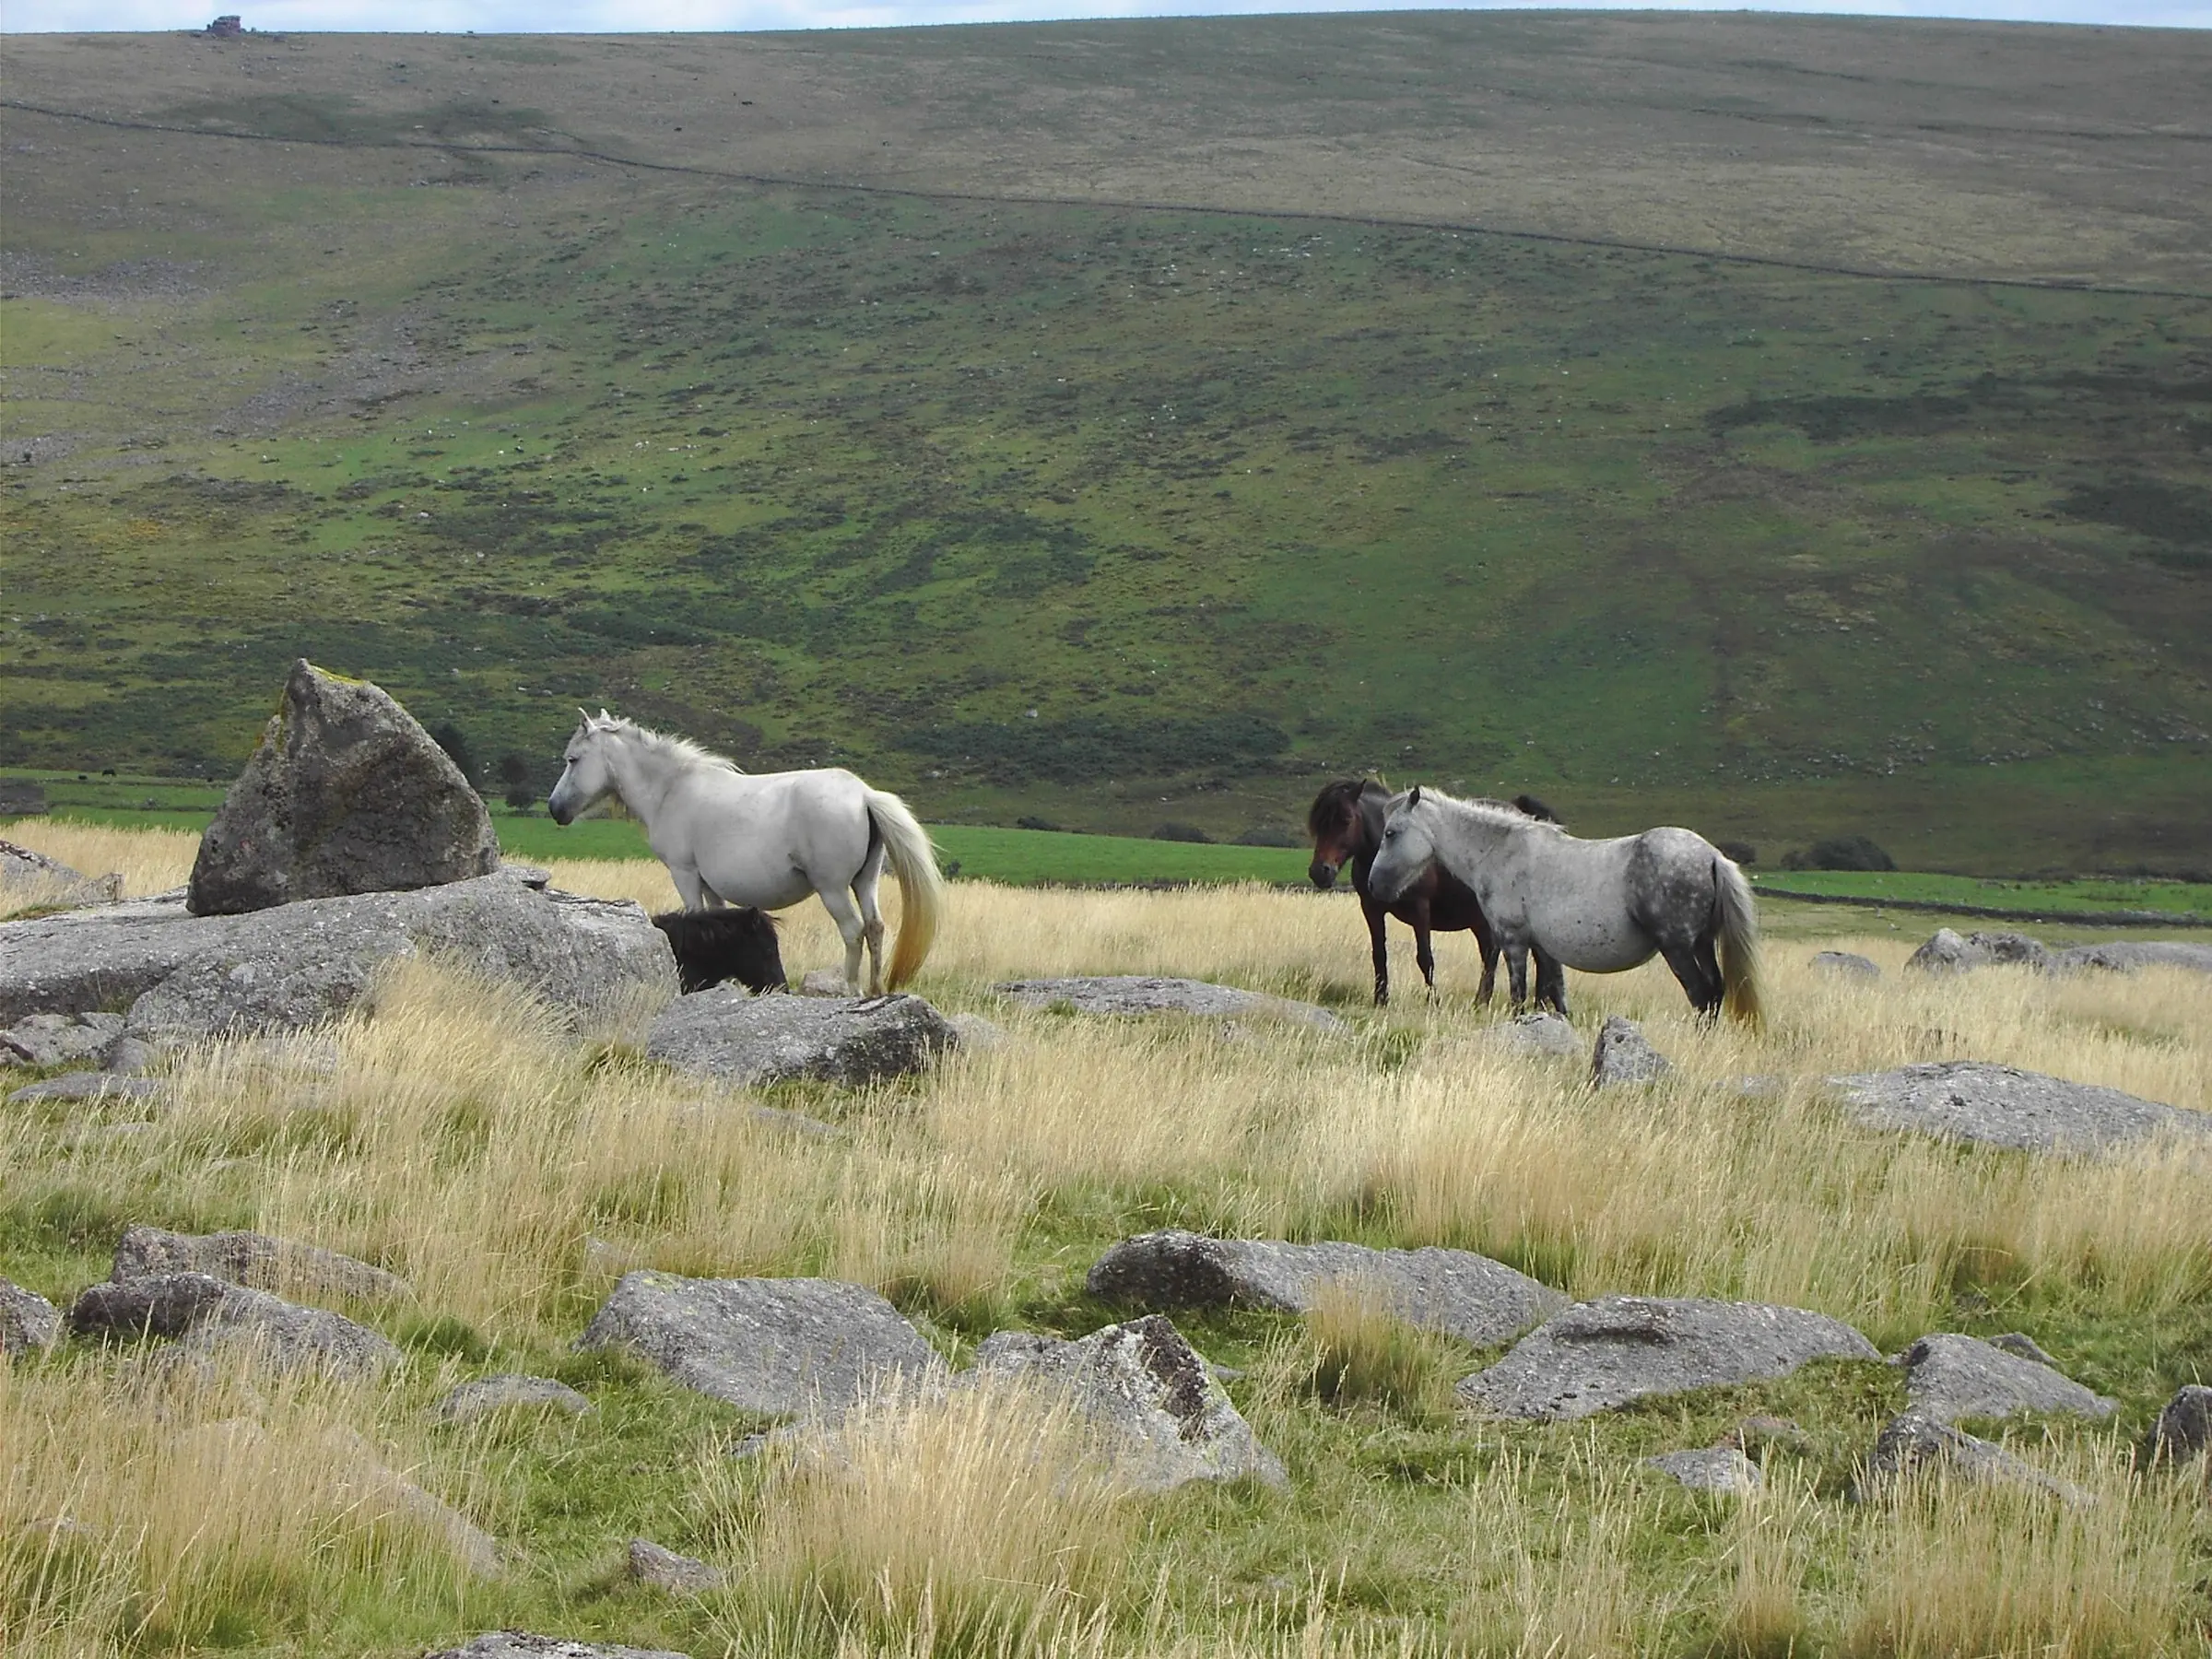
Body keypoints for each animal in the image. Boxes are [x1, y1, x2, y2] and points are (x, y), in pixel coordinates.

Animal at [550, 716, 942, 999]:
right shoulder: (710, 884)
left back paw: (852, 990)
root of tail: (863, 795)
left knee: (853, 931)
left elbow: (694, 915)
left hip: (832, 889)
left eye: (573, 759)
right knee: (875, 927)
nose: (555, 809)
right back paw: (876, 991)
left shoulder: (684, 873)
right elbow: (715, 916)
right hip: (865, 881)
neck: (670, 789)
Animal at [1300, 782, 1566, 1013]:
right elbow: (1379, 955)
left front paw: (1434, 1002)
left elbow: (1425, 958)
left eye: (1345, 820)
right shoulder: (1371, 909)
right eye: (1318, 824)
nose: (1319, 872)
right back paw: (1492, 1003)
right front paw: (1381, 1000)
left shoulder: (1420, 909)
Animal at [1362, 792, 1760, 1026]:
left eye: (1391, 833)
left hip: (1677, 948)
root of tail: (1711, 856)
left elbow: (1520, 996)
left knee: (1701, 996)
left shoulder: (1513, 941)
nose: (1374, 885)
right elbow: (1556, 994)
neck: (1500, 851)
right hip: (1701, 944)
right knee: (1715, 992)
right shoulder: (1544, 948)